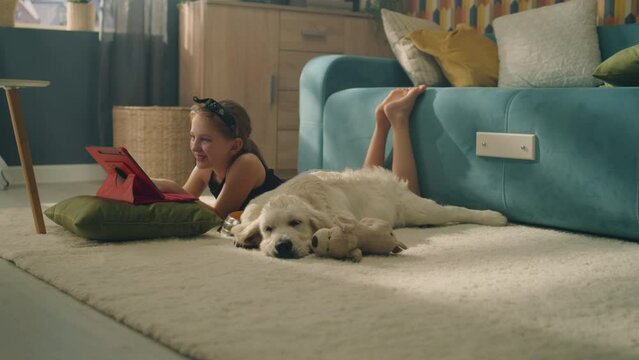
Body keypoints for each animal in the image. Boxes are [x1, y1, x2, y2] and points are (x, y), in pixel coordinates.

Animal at [232, 166, 508, 258]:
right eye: (267, 229)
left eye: (296, 222)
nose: (282, 246)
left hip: (419, 209)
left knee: (455, 210)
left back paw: (494, 216)